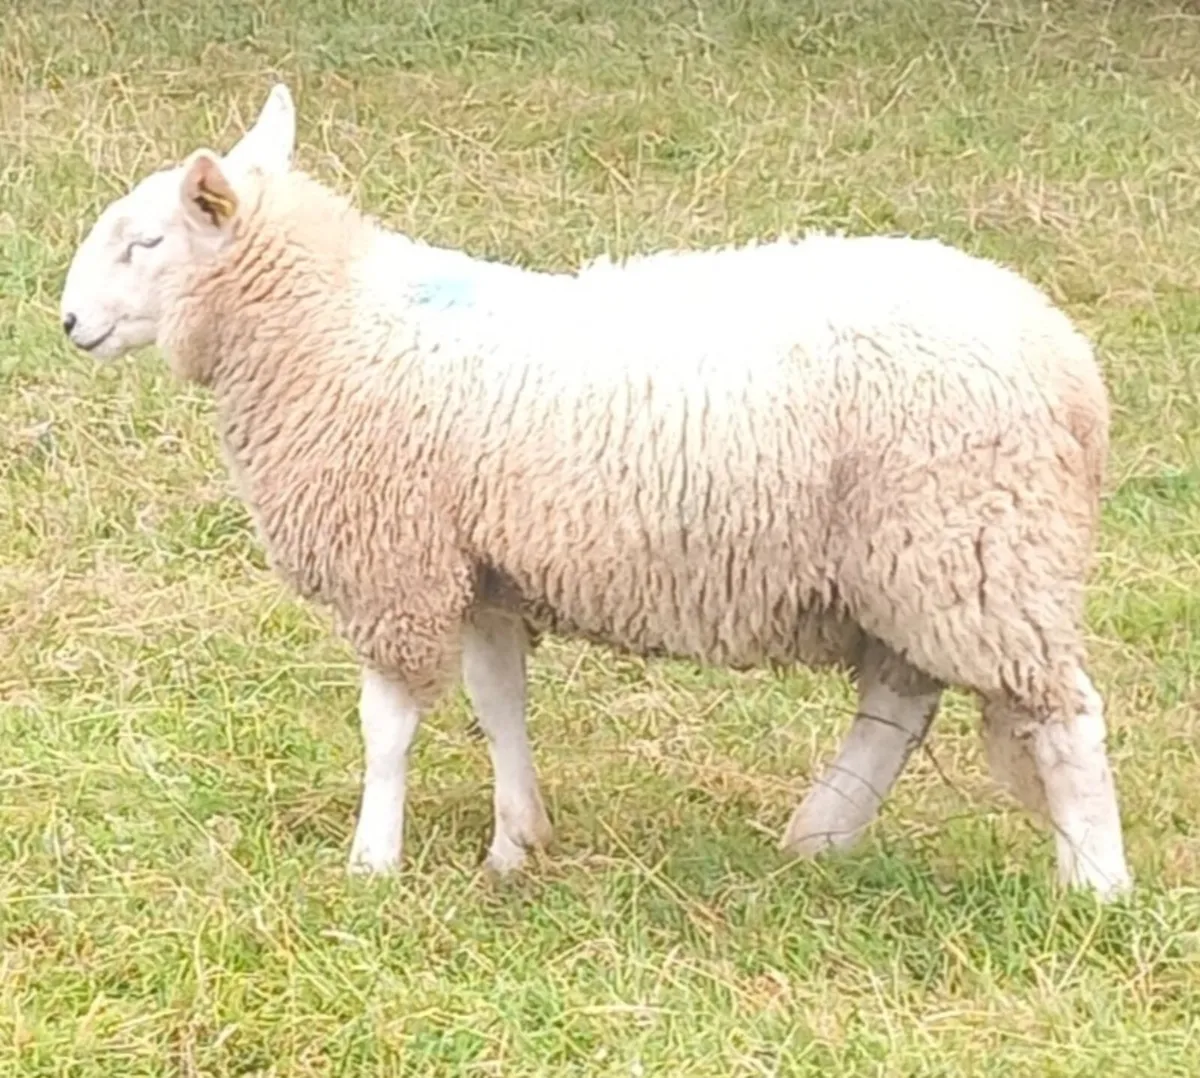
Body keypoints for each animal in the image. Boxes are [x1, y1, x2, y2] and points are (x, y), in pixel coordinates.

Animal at [59, 83, 1133, 900]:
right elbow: (500, 705)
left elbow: (388, 727)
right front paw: (515, 844)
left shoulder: (397, 565)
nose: (67, 322)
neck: (327, 325)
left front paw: (373, 863)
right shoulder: (483, 568)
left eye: (145, 243)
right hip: (918, 561)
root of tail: (1070, 365)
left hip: (980, 548)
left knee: (1065, 718)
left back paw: (1095, 886)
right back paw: (818, 837)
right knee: (901, 704)